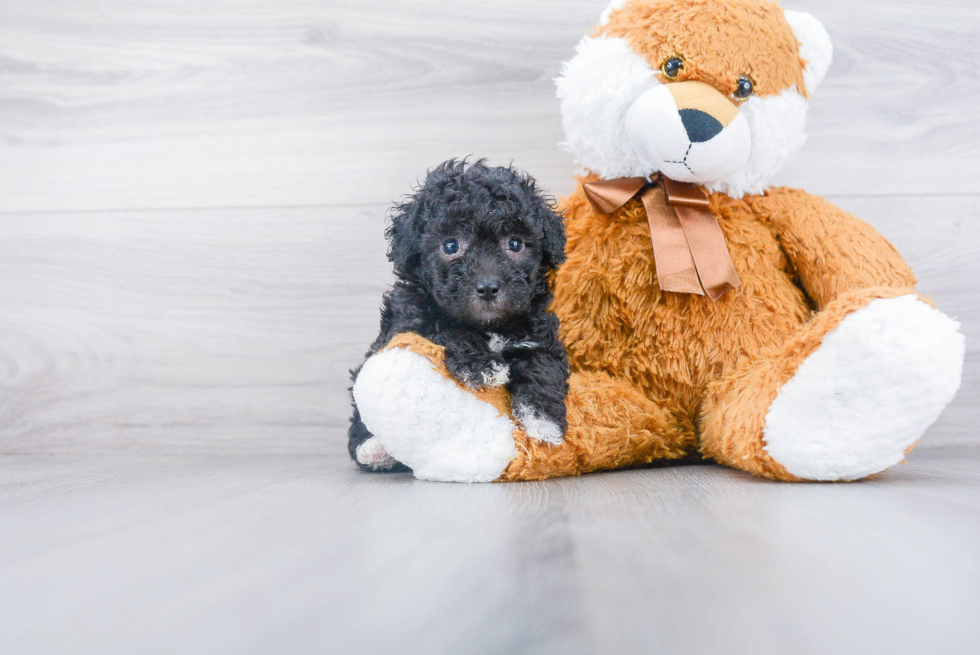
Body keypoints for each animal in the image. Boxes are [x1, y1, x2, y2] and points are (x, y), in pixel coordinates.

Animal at [350, 159, 568, 472]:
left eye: (515, 244)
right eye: (450, 245)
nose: (488, 287)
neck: (488, 326)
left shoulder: (538, 335)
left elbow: (543, 365)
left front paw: (544, 421)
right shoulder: (410, 319)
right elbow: (446, 328)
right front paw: (482, 365)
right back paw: (375, 449)